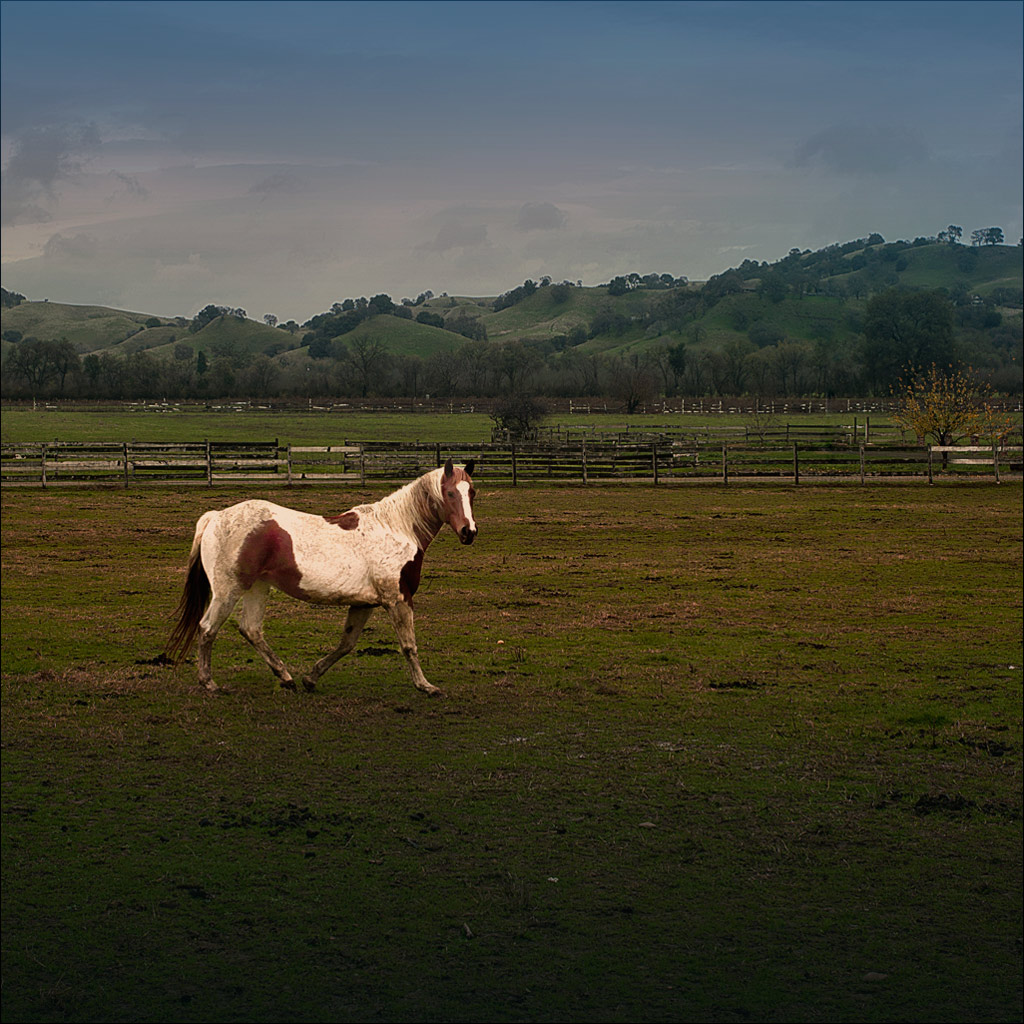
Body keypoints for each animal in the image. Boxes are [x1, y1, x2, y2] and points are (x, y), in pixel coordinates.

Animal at [165, 462, 477, 696]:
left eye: (472, 492)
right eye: (449, 493)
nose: (469, 532)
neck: (397, 529)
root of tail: (216, 517)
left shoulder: (364, 604)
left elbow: (346, 644)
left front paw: (311, 678)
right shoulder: (398, 599)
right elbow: (409, 645)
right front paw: (426, 686)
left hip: (257, 588)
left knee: (251, 629)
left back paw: (286, 678)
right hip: (228, 590)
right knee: (207, 628)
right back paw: (210, 684)